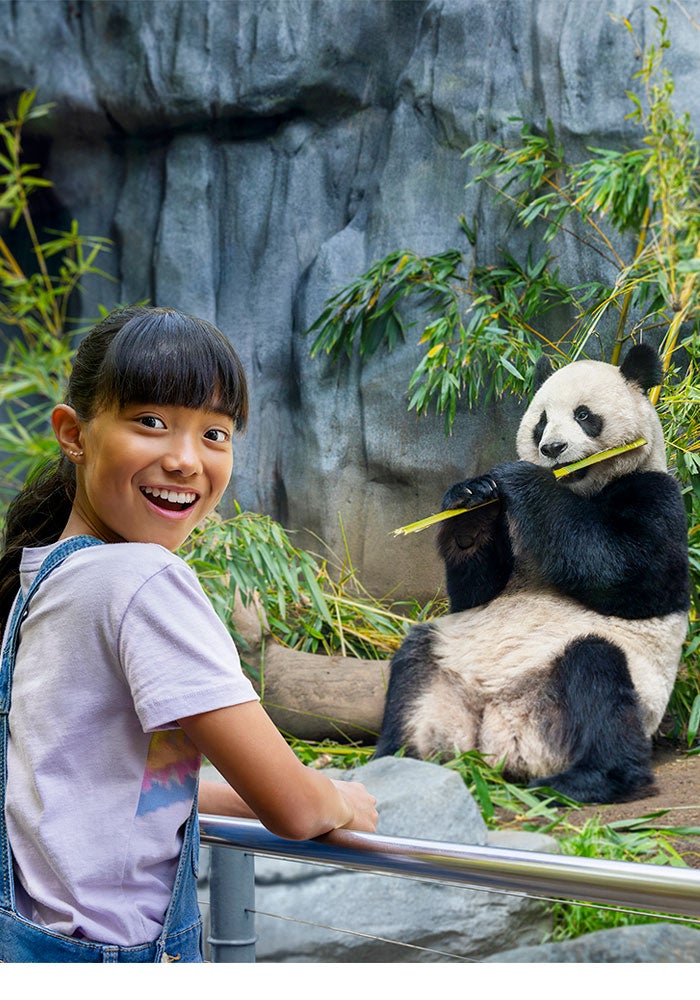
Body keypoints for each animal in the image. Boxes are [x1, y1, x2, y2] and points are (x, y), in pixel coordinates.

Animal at [375, 344, 690, 804]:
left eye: (583, 415)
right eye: (541, 419)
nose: (551, 448)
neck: (581, 486)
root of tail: (497, 731)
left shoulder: (657, 495)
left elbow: (633, 575)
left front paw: (523, 480)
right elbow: (474, 593)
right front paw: (471, 498)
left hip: (599, 694)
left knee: (597, 676)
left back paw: (587, 780)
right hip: (451, 661)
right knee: (414, 666)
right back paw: (399, 758)